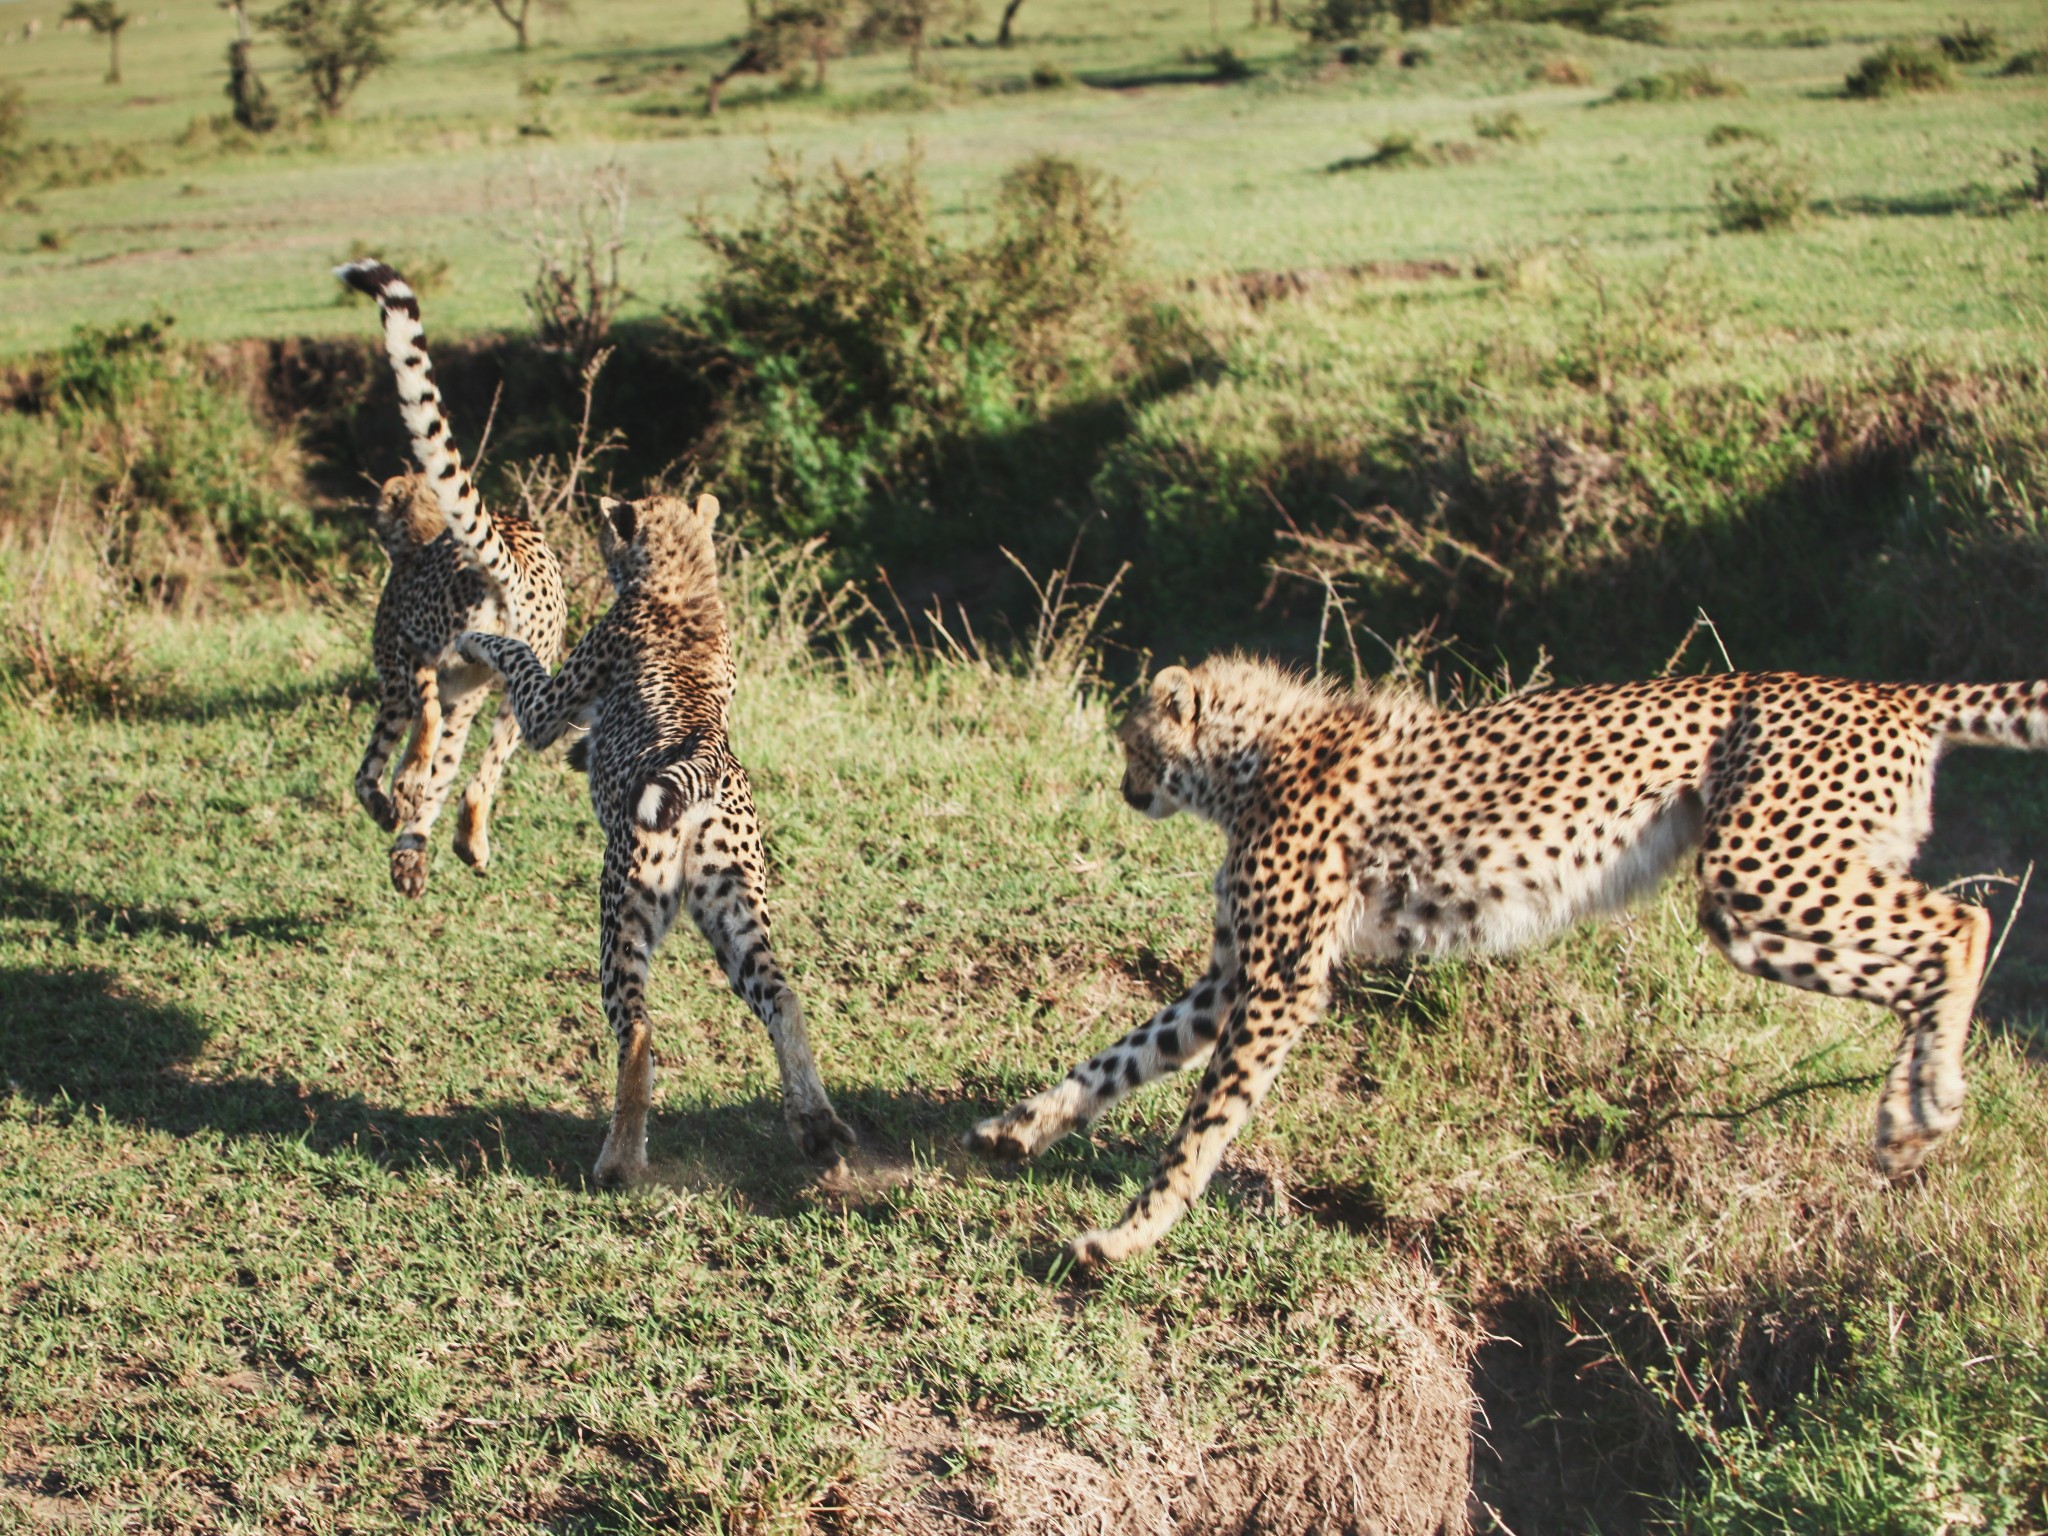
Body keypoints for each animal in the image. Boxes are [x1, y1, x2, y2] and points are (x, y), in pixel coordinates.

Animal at [335, 259, 573, 897]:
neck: (425, 533)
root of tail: (513, 556)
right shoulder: (467, 695)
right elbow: (445, 767)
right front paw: (410, 849)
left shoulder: (400, 670)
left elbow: (375, 760)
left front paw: (388, 803)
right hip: (525, 688)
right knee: (477, 777)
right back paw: (467, 842)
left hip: (426, 646)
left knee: (428, 717)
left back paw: (411, 791)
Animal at [458, 493, 856, 1187]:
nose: (599, 528)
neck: (686, 578)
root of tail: (707, 750)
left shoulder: (544, 708)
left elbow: (515, 653)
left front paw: (472, 640)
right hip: (736, 916)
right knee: (784, 997)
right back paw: (816, 1126)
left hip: (624, 914)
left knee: (639, 1030)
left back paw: (618, 1164)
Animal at [962, 655, 2048, 1269]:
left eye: (1132, 739)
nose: (1124, 786)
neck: (1251, 752)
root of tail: (1880, 687)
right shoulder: (1233, 978)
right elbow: (1122, 1054)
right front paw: (1020, 1128)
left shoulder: (1279, 981)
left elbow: (1197, 1128)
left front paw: (1126, 1238)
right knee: (1937, 936)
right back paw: (1911, 1110)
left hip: (1756, 879)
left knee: (1959, 924)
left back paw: (1925, 1104)